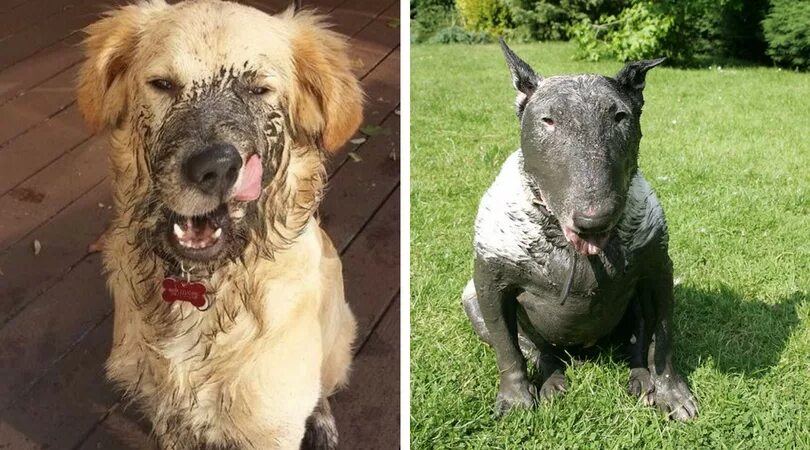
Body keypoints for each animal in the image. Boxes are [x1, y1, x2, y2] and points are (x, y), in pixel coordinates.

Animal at [75, 1, 360, 448]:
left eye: (259, 90)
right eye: (162, 84)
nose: (216, 168)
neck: (206, 286)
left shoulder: (270, 427)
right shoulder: (168, 417)